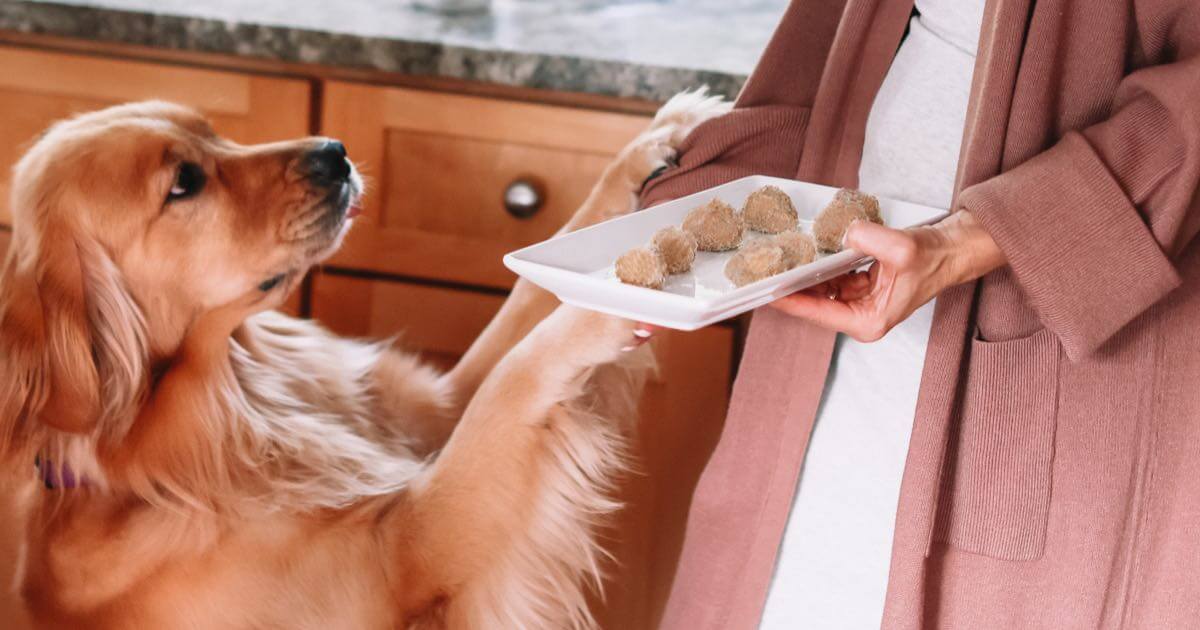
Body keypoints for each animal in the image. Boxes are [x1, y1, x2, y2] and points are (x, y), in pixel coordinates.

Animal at [0, 89, 729, 628]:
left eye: (215, 132)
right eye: (185, 183)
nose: (335, 153)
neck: (236, 390)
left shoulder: (433, 411)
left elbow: (527, 295)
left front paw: (651, 142)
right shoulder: (406, 551)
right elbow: (516, 374)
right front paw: (608, 300)